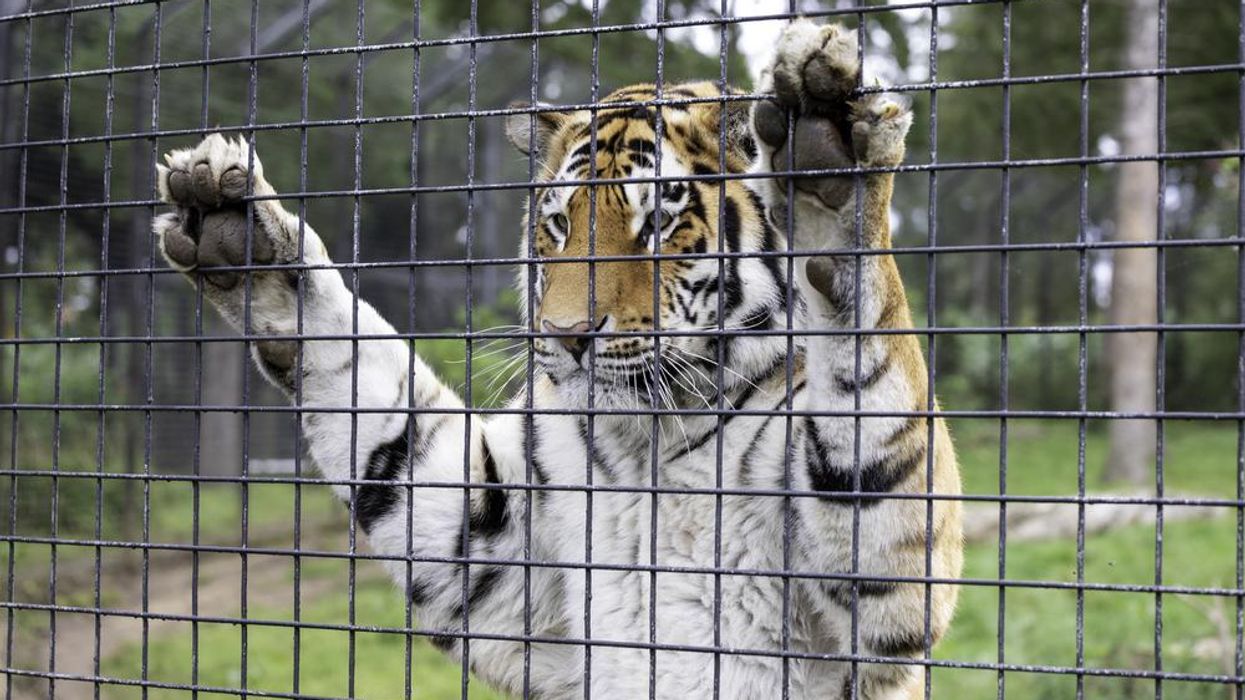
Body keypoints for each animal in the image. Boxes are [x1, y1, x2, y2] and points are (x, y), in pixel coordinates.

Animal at [151, 19, 961, 700]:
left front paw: (830, 160)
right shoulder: (492, 553)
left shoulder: (882, 602)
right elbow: (378, 411)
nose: (568, 334)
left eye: (657, 224)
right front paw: (238, 227)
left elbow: (870, 397)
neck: (647, 443)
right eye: (558, 224)